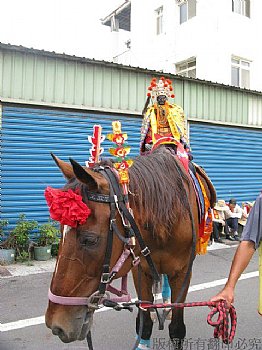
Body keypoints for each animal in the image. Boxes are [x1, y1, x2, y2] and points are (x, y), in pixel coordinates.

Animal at [45, 146, 215, 348]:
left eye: (90, 239)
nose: (56, 325)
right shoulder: (140, 270)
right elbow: (145, 324)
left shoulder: (183, 272)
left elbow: (177, 329)